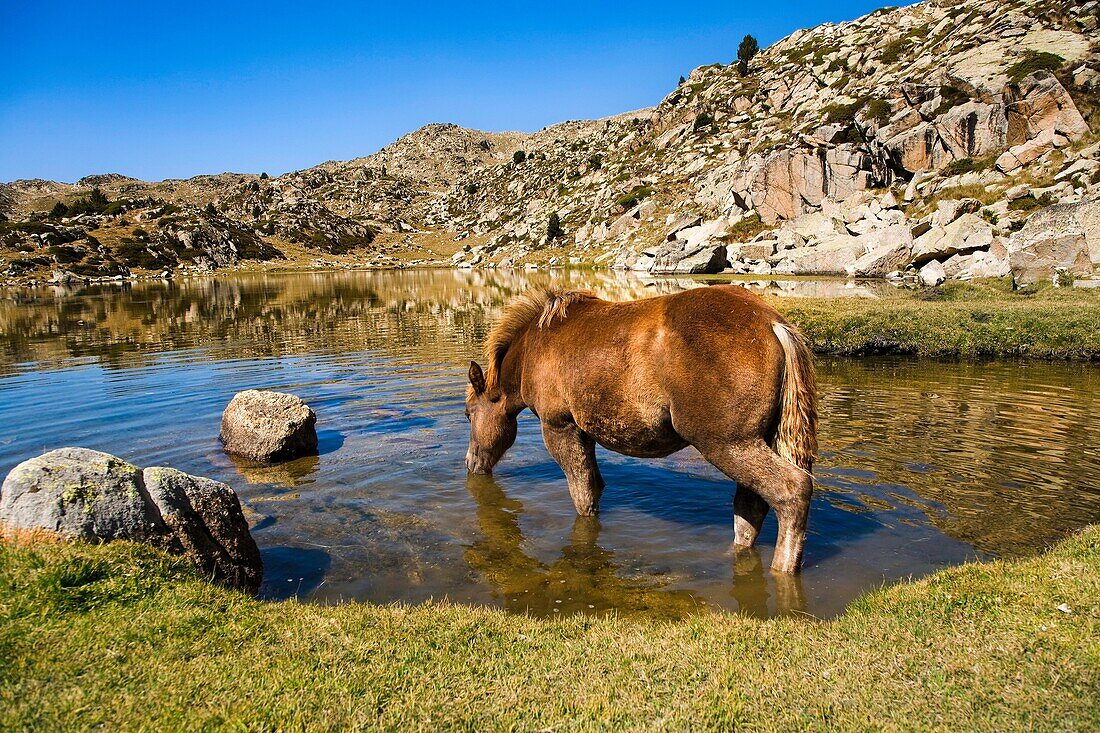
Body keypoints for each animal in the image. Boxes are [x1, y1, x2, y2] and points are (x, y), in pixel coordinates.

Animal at [464, 281, 818, 572]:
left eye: (468, 414)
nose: (470, 462)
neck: (530, 350)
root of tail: (774, 324)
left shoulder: (559, 426)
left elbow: (582, 494)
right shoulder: (584, 432)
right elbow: (594, 487)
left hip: (728, 443)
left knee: (792, 490)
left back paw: (783, 567)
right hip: (754, 441)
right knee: (751, 506)